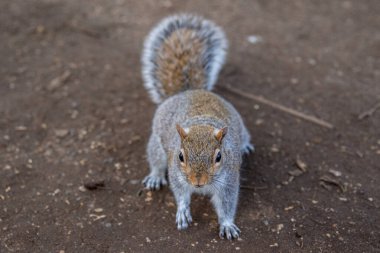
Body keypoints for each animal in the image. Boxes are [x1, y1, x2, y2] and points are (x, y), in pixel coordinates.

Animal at [141, 13, 254, 239]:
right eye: (180, 156)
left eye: (219, 157)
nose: (197, 182)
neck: (201, 123)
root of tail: (189, 91)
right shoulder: (177, 174)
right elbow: (181, 194)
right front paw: (183, 211)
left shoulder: (229, 180)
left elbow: (227, 204)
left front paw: (227, 224)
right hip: (156, 144)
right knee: (156, 160)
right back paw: (155, 176)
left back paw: (245, 145)